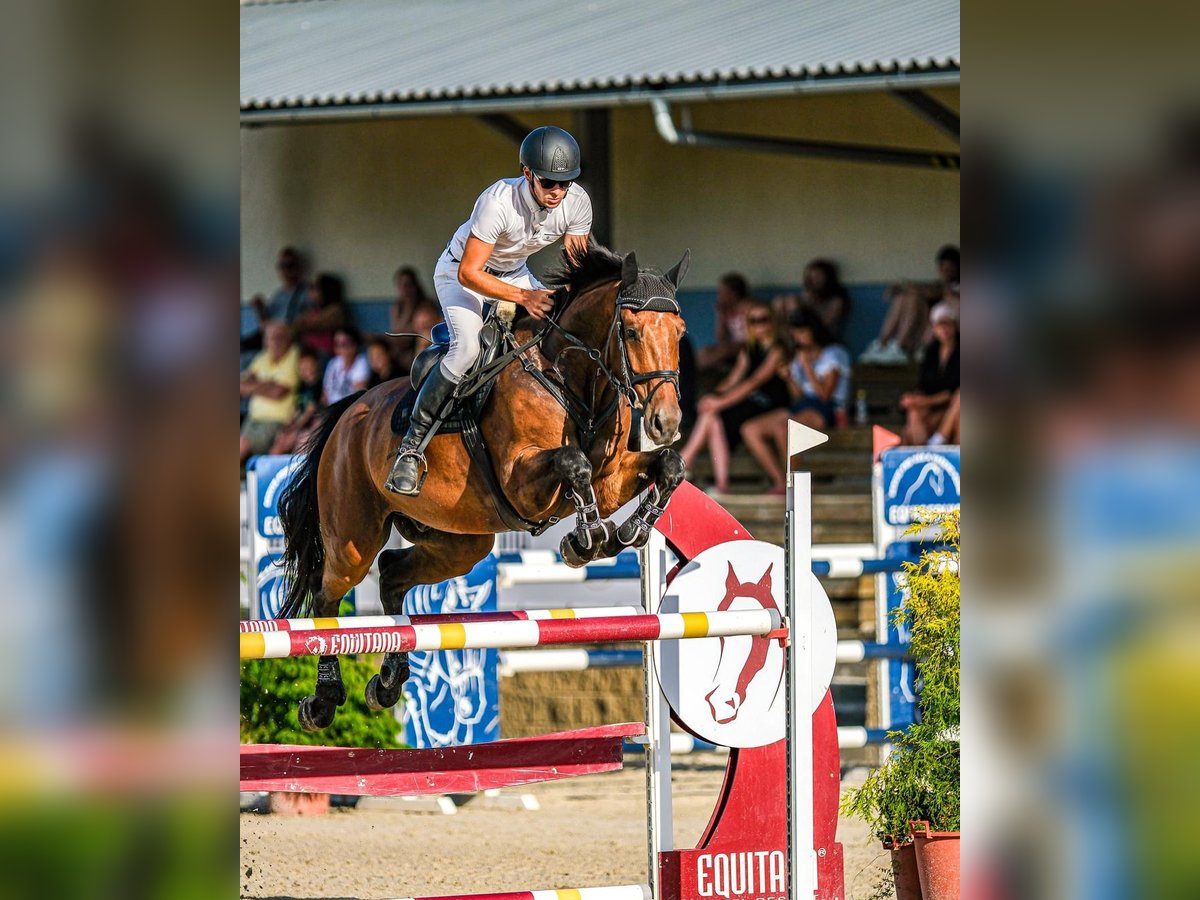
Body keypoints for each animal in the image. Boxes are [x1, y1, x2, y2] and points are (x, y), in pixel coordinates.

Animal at [272, 244, 686, 734]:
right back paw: (323, 701)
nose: (666, 422)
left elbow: (669, 466)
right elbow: (574, 463)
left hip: (459, 543)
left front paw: (628, 533)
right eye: (633, 331)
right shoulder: (522, 481)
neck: (571, 376)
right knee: (326, 595)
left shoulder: (613, 477)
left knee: (391, 573)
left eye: (680, 333)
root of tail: (349, 411)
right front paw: (585, 541)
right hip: (353, 539)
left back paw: (388, 682)